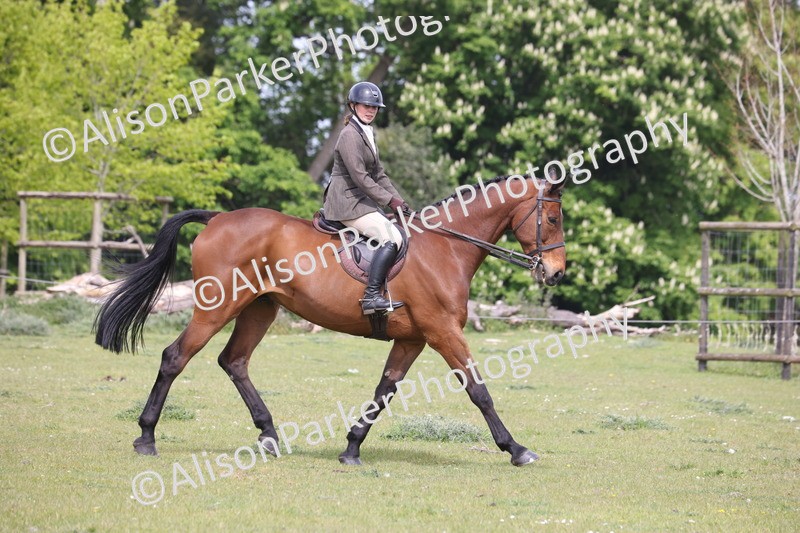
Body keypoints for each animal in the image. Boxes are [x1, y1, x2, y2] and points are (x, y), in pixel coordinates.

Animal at [94, 173, 566, 466]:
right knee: (176, 357)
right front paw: (516, 448)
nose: (557, 272)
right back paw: (146, 437)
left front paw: (352, 448)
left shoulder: (412, 339)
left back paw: (269, 435)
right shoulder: (443, 332)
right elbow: (478, 390)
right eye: (553, 217)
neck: (445, 247)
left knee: (234, 361)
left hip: (260, 308)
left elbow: (383, 392)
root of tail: (219, 218)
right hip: (216, 309)